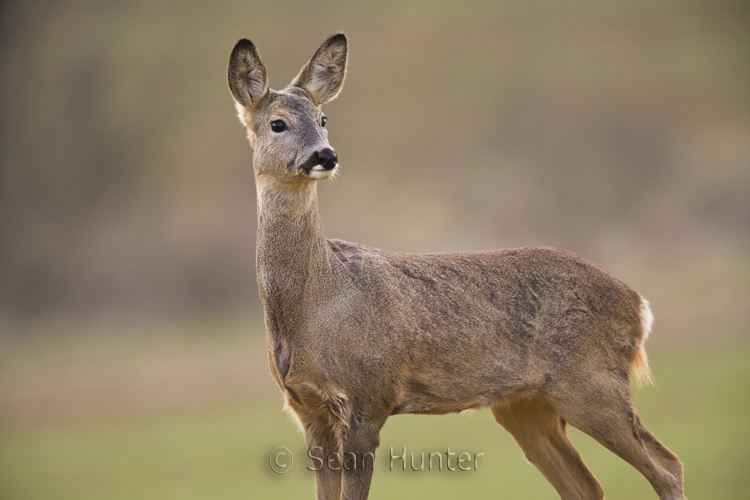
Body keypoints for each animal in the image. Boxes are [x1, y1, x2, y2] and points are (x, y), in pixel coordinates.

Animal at [228, 33, 688, 498]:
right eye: (278, 123)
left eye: (324, 119)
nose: (325, 155)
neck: (318, 301)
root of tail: (638, 303)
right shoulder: (308, 410)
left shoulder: (368, 398)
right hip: (526, 404)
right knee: (588, 485)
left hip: (591, 382)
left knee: (666, 465)